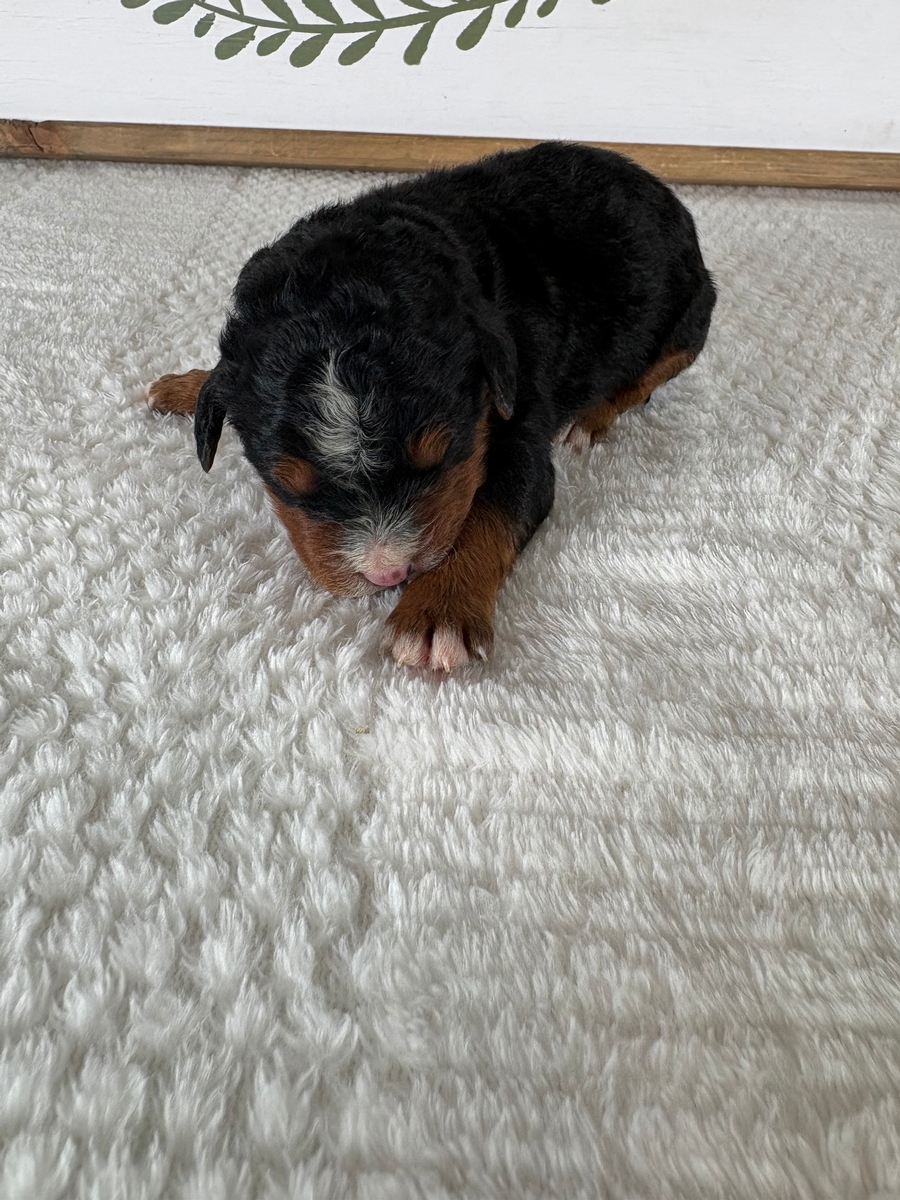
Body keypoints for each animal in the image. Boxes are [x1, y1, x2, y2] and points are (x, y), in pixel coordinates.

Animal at [148, 141, 716, 671]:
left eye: (441, 459)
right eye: (290, 488)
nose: (389, 573)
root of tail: (661, 189)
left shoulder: (519, 419)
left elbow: (492, 508)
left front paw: (437, 613)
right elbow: (222, 379)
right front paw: (189, 386)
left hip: (692, 315)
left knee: (648, 377)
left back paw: (590, 419)